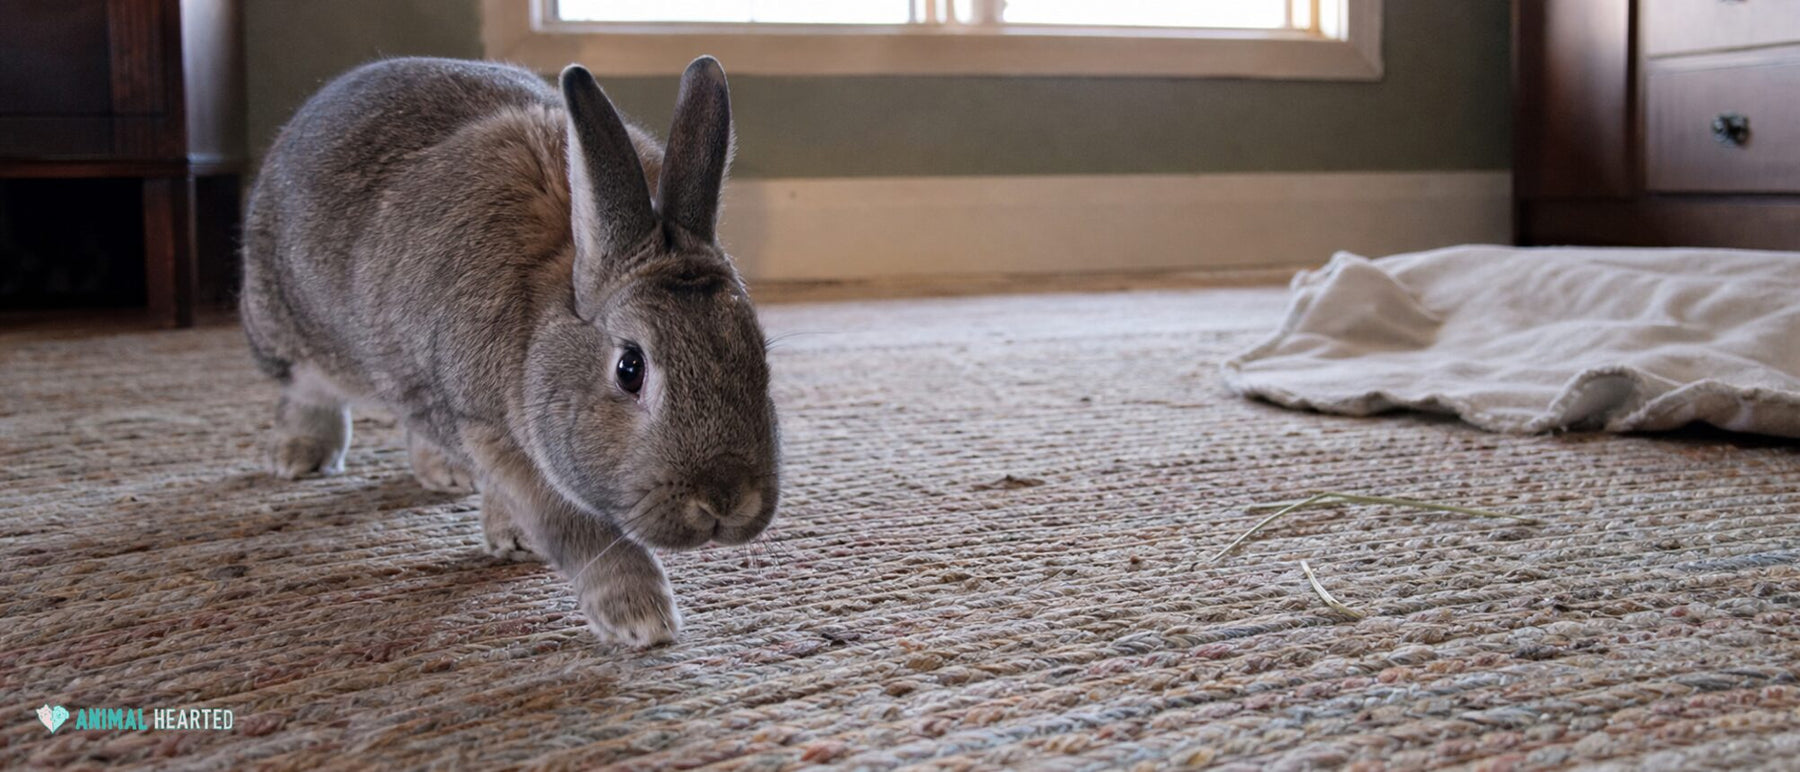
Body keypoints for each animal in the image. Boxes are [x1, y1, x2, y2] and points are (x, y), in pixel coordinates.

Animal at [239, 56, 779, 647]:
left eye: (760, 357)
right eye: (630, 368)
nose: (725, 501)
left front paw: (511, 538)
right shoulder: (488, 428)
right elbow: (577, 530)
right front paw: (641, 618)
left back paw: (444, 474)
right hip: (287, 324)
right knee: (307, 391)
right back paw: (299, 458)